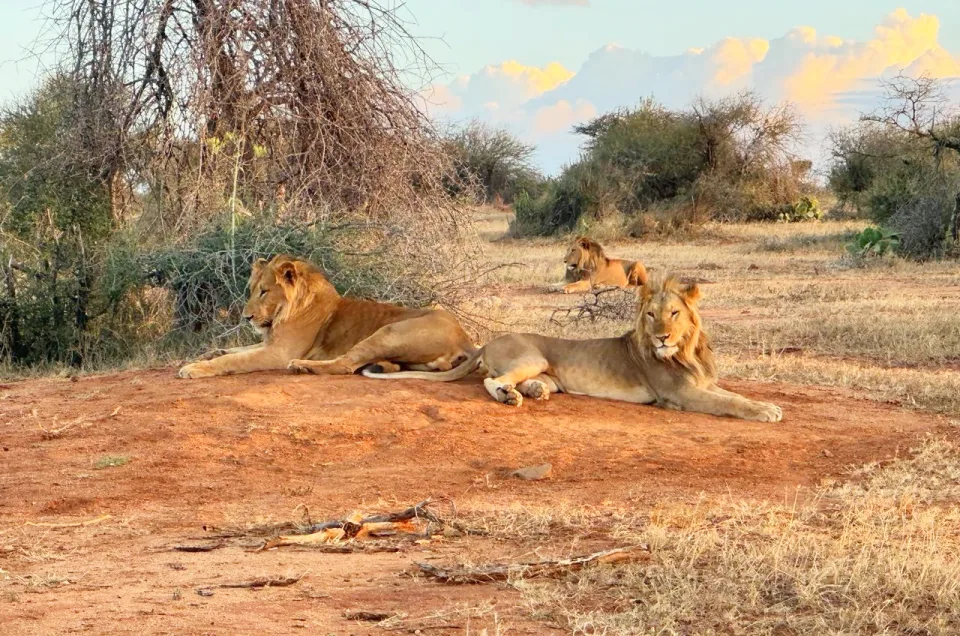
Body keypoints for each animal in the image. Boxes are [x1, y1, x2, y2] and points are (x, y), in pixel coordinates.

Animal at [177, 255, 476, 379]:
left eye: (264, 291)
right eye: (251, 290)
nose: (246, 318)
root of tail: (464, 336)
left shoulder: (280, 352)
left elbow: (236, 359)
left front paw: (194, 368)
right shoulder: (270, 343)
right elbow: (236, 349)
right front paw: (209, 353)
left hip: (388, 332)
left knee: (345, 365)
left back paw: (303, 367)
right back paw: (383, 366)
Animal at [363, 272, 782, 422]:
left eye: (674, 313)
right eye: (650, 315)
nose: (661, 336)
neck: (686, 352)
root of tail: (489, 341)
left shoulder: (701, 384)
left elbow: (733, 394)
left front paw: (769, 405)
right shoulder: (679, 394)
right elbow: (730, 403)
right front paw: (766, 412)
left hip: (548, 373)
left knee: (526, 382)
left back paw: (533, 391)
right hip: (530, 354)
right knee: (491, 382)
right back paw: (510, 397)